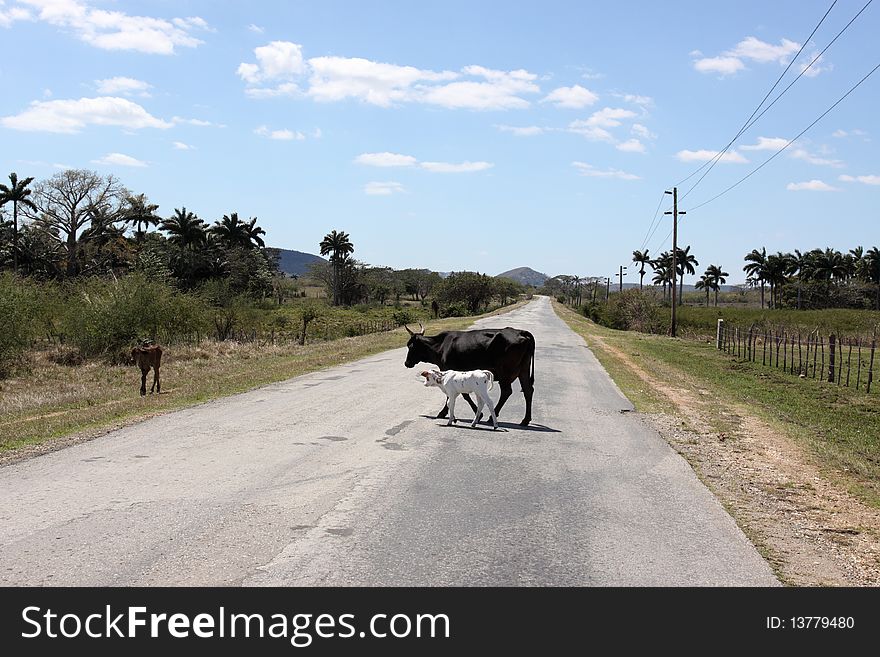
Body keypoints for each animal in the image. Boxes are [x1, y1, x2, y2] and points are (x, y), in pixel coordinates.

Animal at [402, 322, 532, 426]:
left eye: (410, 346)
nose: (406, 363)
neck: (440, 347)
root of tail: (522, 332)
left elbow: (458, 396)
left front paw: (445, 413)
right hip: (523, 370)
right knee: (528, 390)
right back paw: (525, 420)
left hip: (505, 373)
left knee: (506, 392)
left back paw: (492, 417)